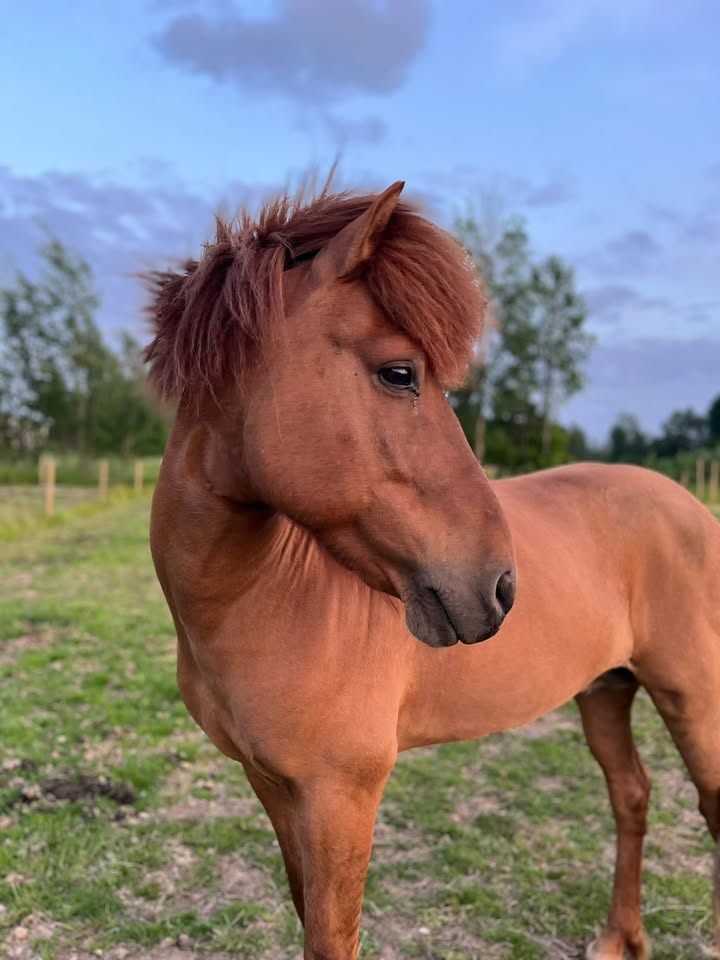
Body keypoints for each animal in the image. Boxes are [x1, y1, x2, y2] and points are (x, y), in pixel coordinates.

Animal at [145, 181, 720, 960]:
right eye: (399, 373)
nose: (500, 587)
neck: (261, 602)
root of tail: (690, 505)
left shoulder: (341, 796)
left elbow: (332, 937)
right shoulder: (273, 786)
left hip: (692, 694)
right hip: (605, 690)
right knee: (630, 794)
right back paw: (618, 937)